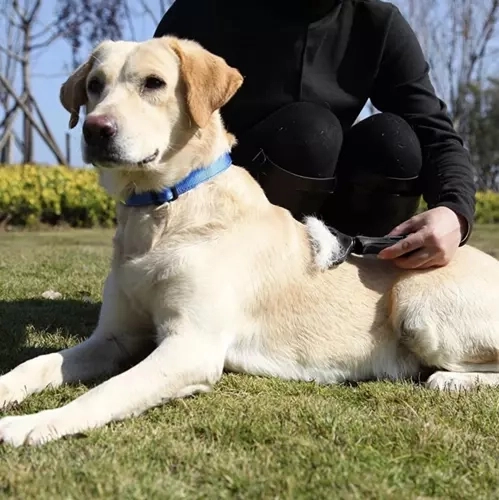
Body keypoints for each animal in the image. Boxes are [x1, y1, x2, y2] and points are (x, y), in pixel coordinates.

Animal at [0, 37, 499, 448]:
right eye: (94, 86)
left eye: (154, 83)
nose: (95, 129)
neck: (163, 210)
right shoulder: (115, 336)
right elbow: (38, 363)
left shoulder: (191, 347)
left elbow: (107, 391)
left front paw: (32, 424)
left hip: (419, 308)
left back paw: (450, 381)